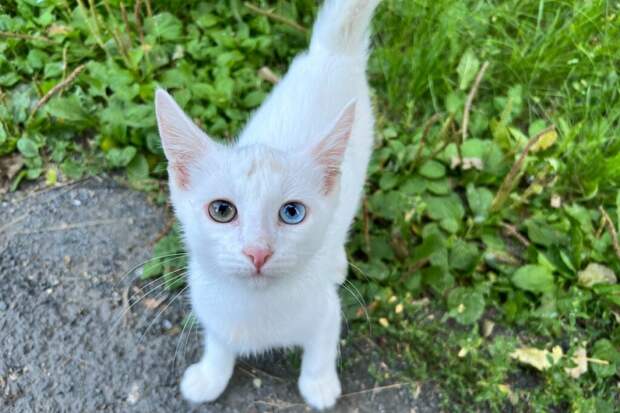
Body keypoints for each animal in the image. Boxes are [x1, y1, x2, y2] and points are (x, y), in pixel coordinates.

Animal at [154, 0, 378, 408]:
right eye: (221, 210)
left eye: (292, 213)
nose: (258, 252)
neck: (253, 307)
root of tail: (330, 54)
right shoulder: (210, 308)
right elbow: (218, 341)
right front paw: (210, 376)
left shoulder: (327, 310)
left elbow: (321, 346)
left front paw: (319, 385)